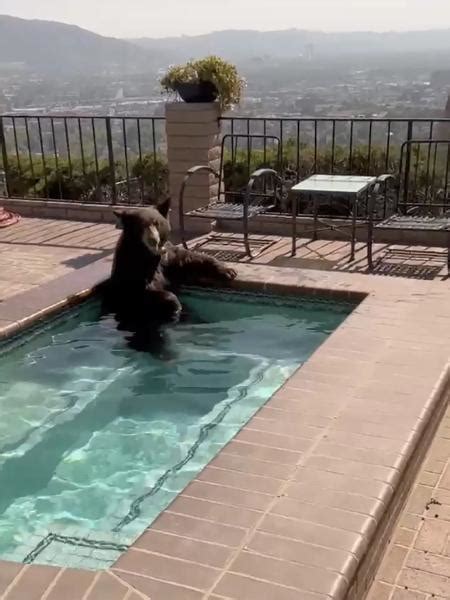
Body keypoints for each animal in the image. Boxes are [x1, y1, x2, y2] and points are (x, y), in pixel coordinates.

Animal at [101, 199, 236, 354]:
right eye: (140, 226)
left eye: (156, 223)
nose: (153, 239)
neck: (150, 255)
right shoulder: (132, 269)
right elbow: (141, 291)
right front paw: (174, 303)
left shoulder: (168, 259)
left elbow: (189, 259)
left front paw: (228, 271)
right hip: (134, 318)